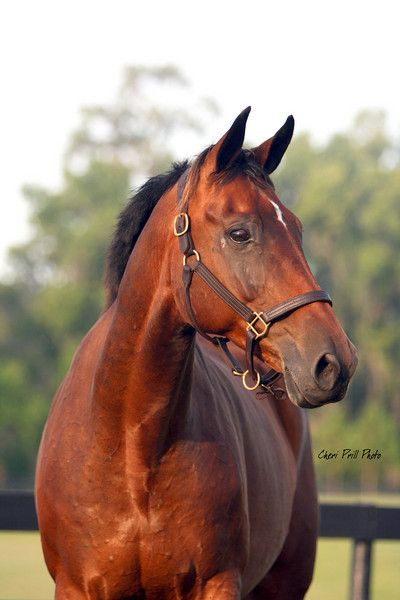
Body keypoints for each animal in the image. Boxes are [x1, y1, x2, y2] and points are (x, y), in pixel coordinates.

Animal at [36, 109, 358, 600]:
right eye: (240, 232)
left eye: (298, 229)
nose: (335, 361)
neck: (132, 451)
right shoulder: (75, 587)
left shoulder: (216, 584)